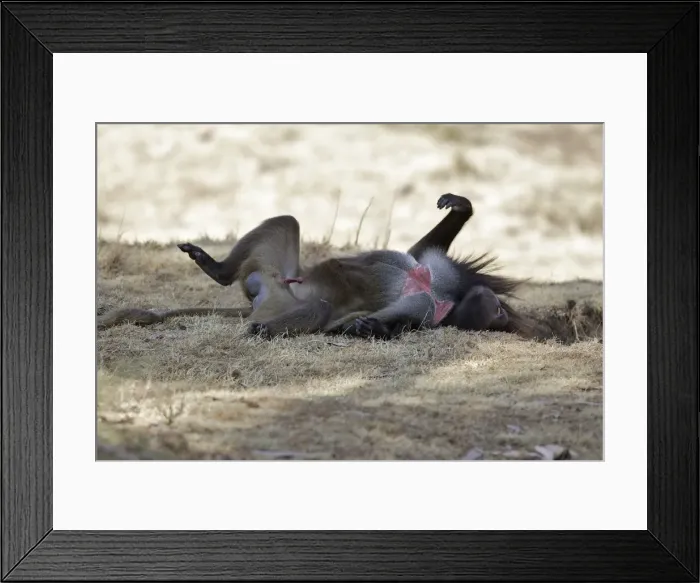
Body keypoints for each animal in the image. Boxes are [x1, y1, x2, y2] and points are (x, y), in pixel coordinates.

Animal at [98, 193, 537, 339]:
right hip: (276, 276)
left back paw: (258, 327)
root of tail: (261, 299)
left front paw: (364, 328)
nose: (498, 312)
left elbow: (376, 324)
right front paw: (459, 205)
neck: (439, 294)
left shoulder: (429, 310)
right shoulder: (438, 272)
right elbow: (419, 249)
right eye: (493, 307)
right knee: (286, 221)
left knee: (319, 307)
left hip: (276, 300)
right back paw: (216, 269)